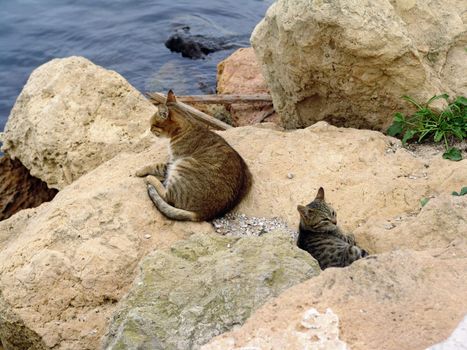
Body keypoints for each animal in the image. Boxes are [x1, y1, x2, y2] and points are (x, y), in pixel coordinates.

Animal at [136, 90, 252, 221]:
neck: (187, 126)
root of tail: (201, 214)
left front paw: (140, 170)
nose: (150, 129)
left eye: (153, 125)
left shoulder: (174, 160)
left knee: (167, 196)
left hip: (183, 165)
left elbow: (156, 165)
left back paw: (151, 178)